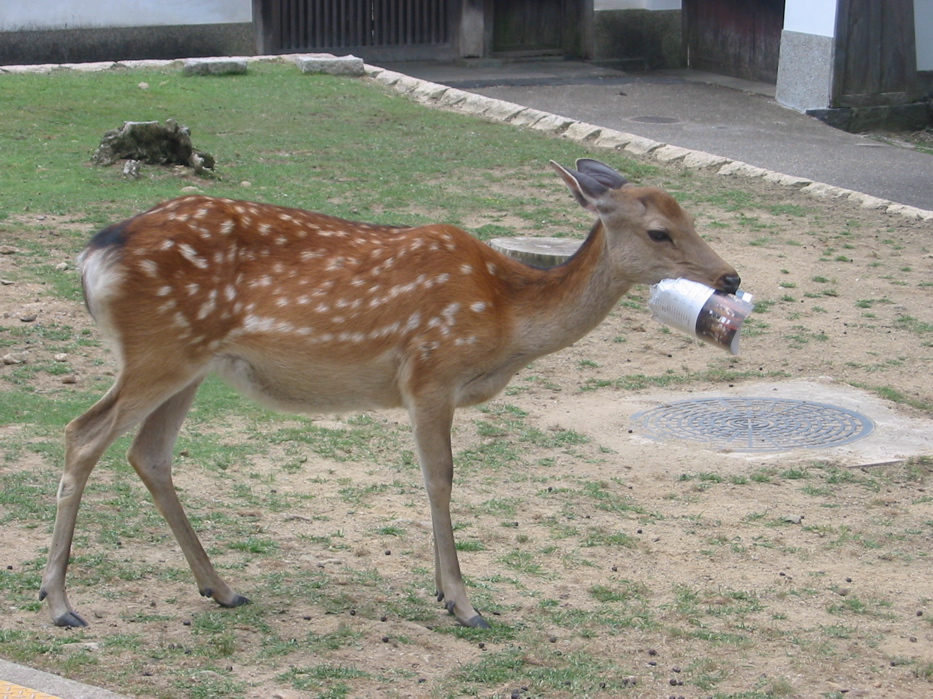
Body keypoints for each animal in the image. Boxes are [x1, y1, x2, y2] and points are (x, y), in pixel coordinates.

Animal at [40, 158, 740, 629]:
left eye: (690, 215)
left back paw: (222, 587)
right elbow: (440, 478)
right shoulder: (430, 373)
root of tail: (93, 255)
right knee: (84, 433)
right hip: (159, 350)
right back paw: (60, 602)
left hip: (191, 363)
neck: (505, 321)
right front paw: (461, 601)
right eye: (658, 231)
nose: (730, 276)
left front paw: (440, 589)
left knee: (149, 454)